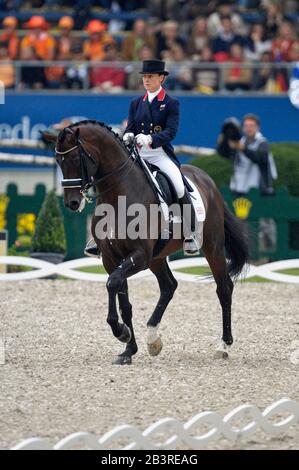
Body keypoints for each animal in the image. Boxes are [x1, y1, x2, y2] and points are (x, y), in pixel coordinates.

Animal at [41, 119, 248, 366]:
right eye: (57, 160)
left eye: (74, 158)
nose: (72, 203)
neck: (118, 196)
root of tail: (208, 181)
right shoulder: (112, 258)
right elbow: (124, 301)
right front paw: (128, 349)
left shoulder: (138, 255)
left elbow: (112, 283)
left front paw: (121, 332)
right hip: (157, 257)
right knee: (169, 286)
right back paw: (153, 339)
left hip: (212, 246)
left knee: (224, 288)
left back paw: (223, 346)